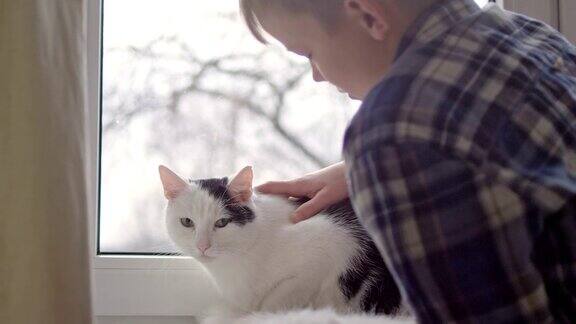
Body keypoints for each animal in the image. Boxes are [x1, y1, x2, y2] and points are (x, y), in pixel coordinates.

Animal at [159, 167, 404, 322]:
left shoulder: (330, 243)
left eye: (222, 223)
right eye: (187, 222)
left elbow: (278, 298)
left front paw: (262, 316)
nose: (202, 246)